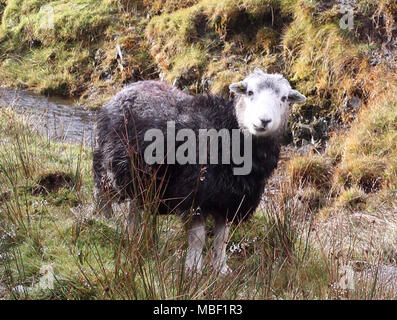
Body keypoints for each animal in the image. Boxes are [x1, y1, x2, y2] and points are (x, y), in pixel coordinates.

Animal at [93, 67, 306, 276]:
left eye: (284, 98)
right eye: (250, 92)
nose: (264, 121)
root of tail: (126, 89)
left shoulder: (229, 200)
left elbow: (222, 239)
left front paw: (221, 268)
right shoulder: (195, 195)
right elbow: (198, 238)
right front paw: (193, 269)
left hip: (142, 179)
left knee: (134, 207)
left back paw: (131, 237)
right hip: (107, 163)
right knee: (103, 195)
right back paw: (102, 222)